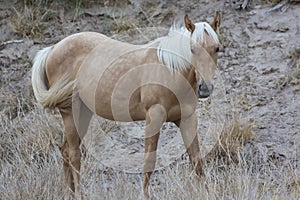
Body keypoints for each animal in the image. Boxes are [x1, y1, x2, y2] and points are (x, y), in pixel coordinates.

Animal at [31, 12, 221, 197]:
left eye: (217, 48)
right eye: (192, 49)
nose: (205, 88)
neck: (170, 70)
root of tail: (53, 49)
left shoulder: (187, 119)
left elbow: (196, 159)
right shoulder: (154, 117)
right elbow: (149, 161)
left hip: (84, 114)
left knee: (65, 151)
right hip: (71, 114)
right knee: (74, 154)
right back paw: (78, 194)